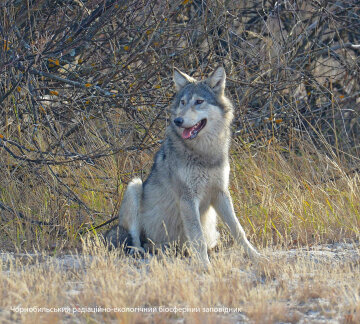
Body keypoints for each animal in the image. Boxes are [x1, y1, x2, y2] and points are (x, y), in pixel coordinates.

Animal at [106, 66, 262, 266]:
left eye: (199, 101)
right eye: (182, 102)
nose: (178, 121)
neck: (204, 153)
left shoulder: (221, 193)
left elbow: (238, 230)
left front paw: (256, 256)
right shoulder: (187, 198)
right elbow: (197, 237)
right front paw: (205, 266)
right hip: (134, 185)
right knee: (136, 241)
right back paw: (144, 253)